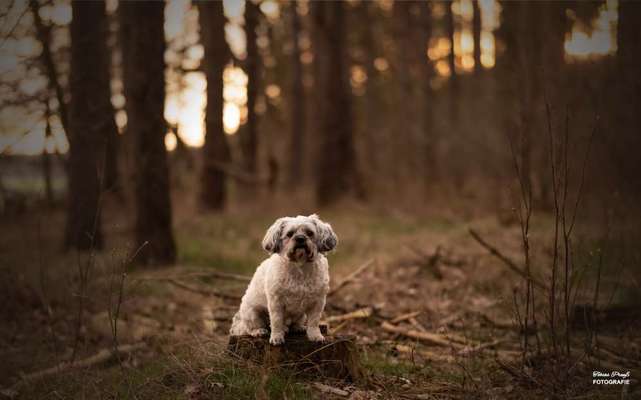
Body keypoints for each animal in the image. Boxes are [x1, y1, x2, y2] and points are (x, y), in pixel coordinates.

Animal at [231, 214, 340, 346]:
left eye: (310, 233)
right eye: (289, 234)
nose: (300, 238)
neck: (300, 267)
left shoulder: (317, 302)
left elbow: (314, 322)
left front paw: (315, 336)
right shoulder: (276, 302)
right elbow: (277, 321)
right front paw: (277, 337)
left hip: (301, 315)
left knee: (295, 322)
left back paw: (298, 327)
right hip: (251, 313)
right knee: (251, 327)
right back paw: (259, 331)